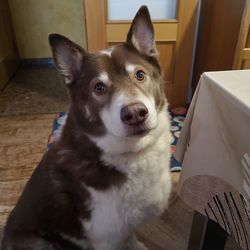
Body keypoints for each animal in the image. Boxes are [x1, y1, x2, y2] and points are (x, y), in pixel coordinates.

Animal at [1, 5, 172, 250]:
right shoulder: (106, 238)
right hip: (39, 241)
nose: (135, 114)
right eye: (99, 87)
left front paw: (137, 245)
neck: (132, 155)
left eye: (140, 75)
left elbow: (131, 237)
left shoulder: (125, 227)